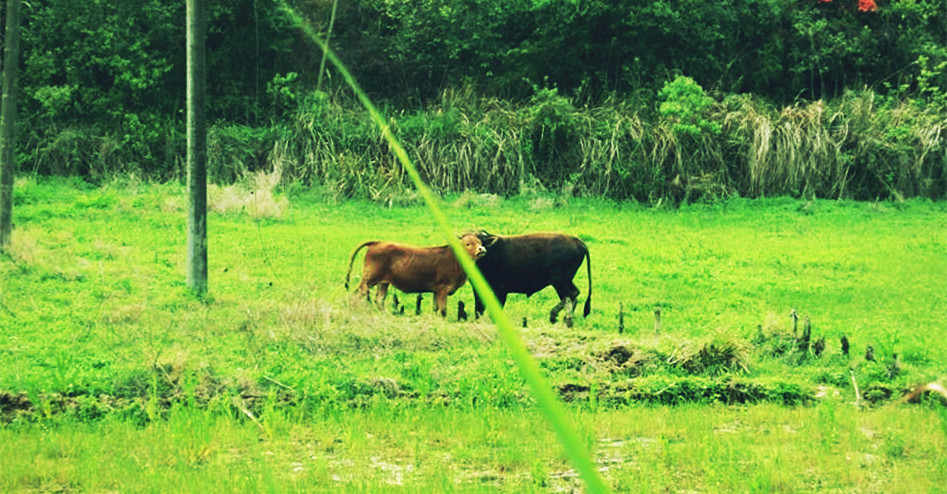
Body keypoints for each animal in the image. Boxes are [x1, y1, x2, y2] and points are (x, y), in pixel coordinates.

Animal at [342, 234, 488, 316]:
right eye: (468, 244)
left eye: (480, 243)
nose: (482, 249)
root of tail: (378, 242)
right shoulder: (443, 288)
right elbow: (443, 310)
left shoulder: (436, 290)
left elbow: (435, 308)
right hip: (369, 280)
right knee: (355, 295)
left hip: (383, 282)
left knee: (379, 299)